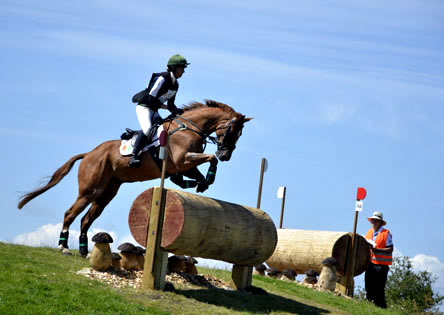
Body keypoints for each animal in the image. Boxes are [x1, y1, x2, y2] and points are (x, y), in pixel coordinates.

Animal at [17, 101, 251, 256]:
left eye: (239, 135)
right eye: (232, 131)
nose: (226, 155)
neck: (189, 128)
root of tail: (89, 154)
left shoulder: (185, 165)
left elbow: (202, 170)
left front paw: (200, 183)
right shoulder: (182, 160)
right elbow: (211, 159)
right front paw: (204, 178)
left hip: (106, 193)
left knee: (86, 219)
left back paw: (83, 250)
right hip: (90, 190)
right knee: (70, 213)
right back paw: (63, 246)